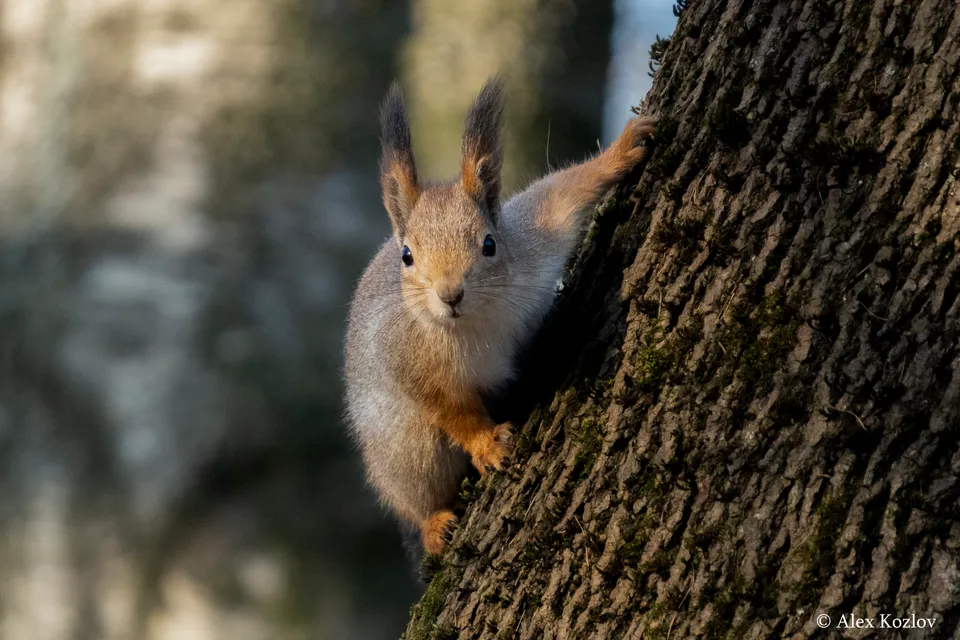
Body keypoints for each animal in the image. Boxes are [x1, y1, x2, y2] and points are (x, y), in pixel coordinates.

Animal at [344, 76, 655, 555]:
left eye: (489, 244)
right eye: (407, 256)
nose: (450, 294)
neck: (477, 320)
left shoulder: (538, 236)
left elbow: (564, 190)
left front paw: (624, 149)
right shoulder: (408, 359)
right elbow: (449, 408)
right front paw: (487, 444)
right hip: (406, 451)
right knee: (416, 493)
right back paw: (433, 524)